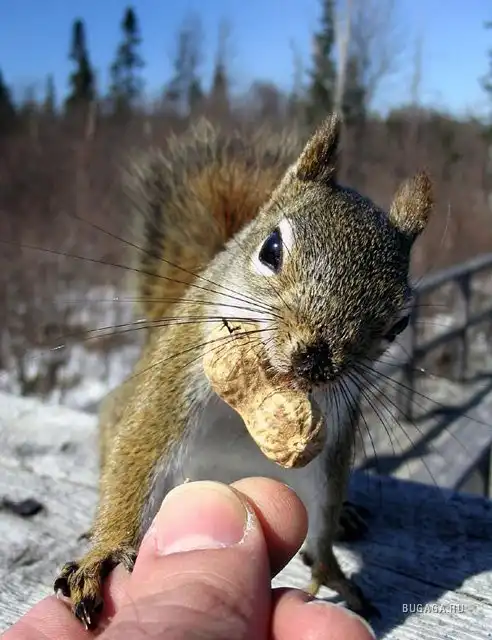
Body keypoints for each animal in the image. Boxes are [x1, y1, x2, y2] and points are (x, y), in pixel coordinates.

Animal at [54, 113, 433, 630]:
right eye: (271, 248)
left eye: (400, 324)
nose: (314, 357)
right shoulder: (172, 387)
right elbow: (137, 459)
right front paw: (105, 556)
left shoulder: (331, 444)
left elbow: (322, 513)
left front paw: (332, 571)